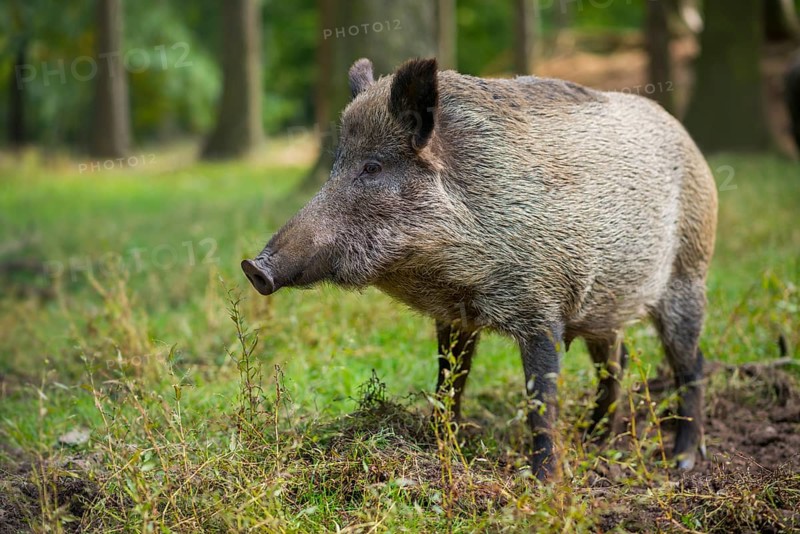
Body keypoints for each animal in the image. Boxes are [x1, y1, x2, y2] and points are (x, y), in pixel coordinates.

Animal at [242, 57, 718, 480]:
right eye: (336, 165)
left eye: (372, 166)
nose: (254, 267)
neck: (450, 271)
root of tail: (689, 140)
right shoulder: (455, 317)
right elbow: (448, 383)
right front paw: (439, 446)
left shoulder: (542, 308)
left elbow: (540, 400)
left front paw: (542, 483)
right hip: (607, 309)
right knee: (615, 366)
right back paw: (595, 441)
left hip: (689, 274)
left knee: (691, 364)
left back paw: (681, 463)